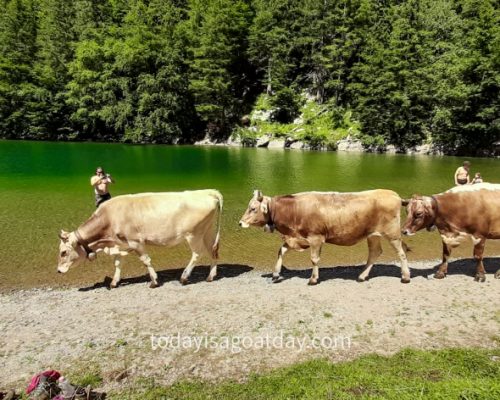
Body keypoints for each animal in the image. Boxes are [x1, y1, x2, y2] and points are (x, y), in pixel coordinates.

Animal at [56, 191, 223, 288]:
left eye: (63, 252)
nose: (58, 270)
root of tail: (208, 192)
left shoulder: (136, 241)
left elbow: (146, 260)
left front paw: (154, 281)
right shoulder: (119, 244)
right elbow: (118, 263)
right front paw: (114, 282)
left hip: (193, 234)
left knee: (197, 254)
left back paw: (184, 277)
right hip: (208, 230)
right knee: (213, 250)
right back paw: (210, 276)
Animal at [238, 188, 410, 284]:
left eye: (253, 208)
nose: (240, 223)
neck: (294, 210)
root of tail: (394, 195)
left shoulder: (316, 238)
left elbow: (314, 259)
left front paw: (313, 279)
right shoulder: (296, 238)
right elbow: (281, 251)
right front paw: (275, 274)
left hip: (392, 233)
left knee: (401, 253)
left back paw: (405, 277)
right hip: (372, 234)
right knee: (375, 252)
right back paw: (362, 276)